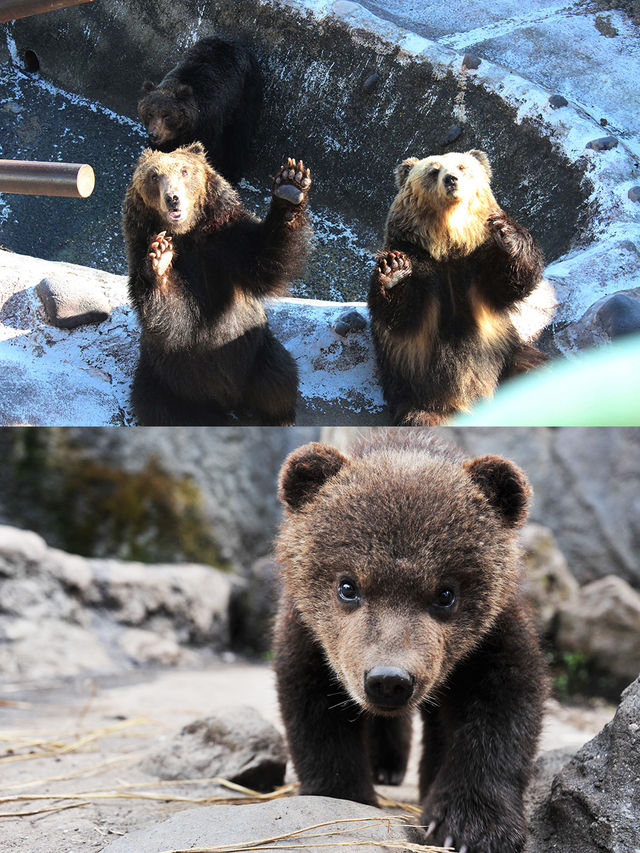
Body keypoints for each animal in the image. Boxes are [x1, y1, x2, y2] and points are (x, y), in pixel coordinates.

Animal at [122, 146, 312, 430]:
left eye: (184, 170)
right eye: (154, 176)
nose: (173, 199)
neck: (186, 234)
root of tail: (229, 400)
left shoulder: (225, 240)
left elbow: (263, 258)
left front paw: (290, 186)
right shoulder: (141, 256)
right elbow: (174, 317)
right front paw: (160, 258)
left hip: (256, 352)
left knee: (279, 376)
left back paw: (279, 417)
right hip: (163, 377)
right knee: (161, 408)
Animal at [138, 37, 262, 185]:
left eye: (166, 116)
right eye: (150, 114)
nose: (153, 134)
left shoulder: (208, 123)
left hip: (244, 94)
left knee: (240, 131)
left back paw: (232, 172)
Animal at [272, 432, 548, 852]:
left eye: (446, 593)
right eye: (348, 586)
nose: (389, 680)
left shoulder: (490, 635)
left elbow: (503, 706)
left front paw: (470, 825)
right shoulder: (312, 634)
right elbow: (313, 707)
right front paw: (343, 795)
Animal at [368, 151, 548, 426]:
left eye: (462, 166)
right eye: (433, 170)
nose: (451, 179)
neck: (448, 243)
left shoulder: (478, 265)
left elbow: (510, 280)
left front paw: (506, 230)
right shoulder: (420, 263)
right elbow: (402, 313)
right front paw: (394, 270)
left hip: (507, 356)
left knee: (538, 369)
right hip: (415, 388)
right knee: (421, 417)